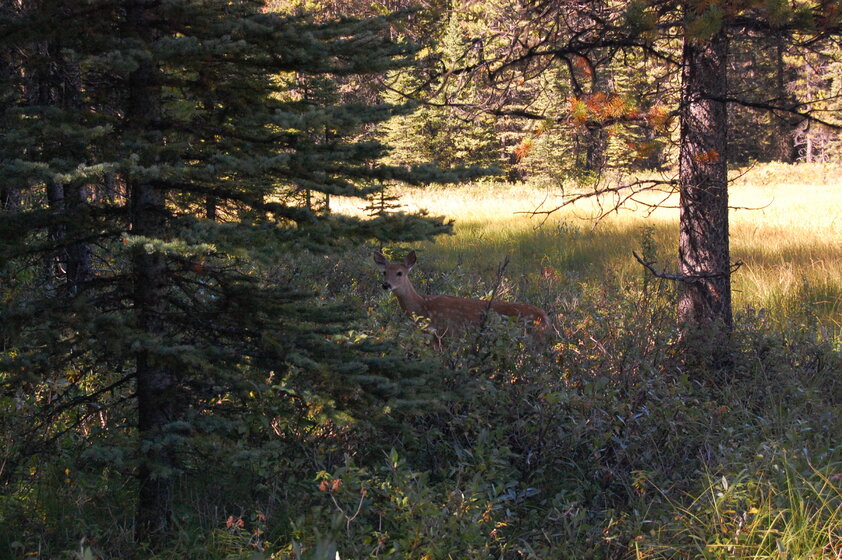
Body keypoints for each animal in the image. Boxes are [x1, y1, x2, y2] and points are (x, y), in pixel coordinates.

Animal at [373, 250, 551, 346]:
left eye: (400, 273)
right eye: (384, 272)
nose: (386, 285)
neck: (423, 306)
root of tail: (545, 318)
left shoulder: (447, 333)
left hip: (534, 339)